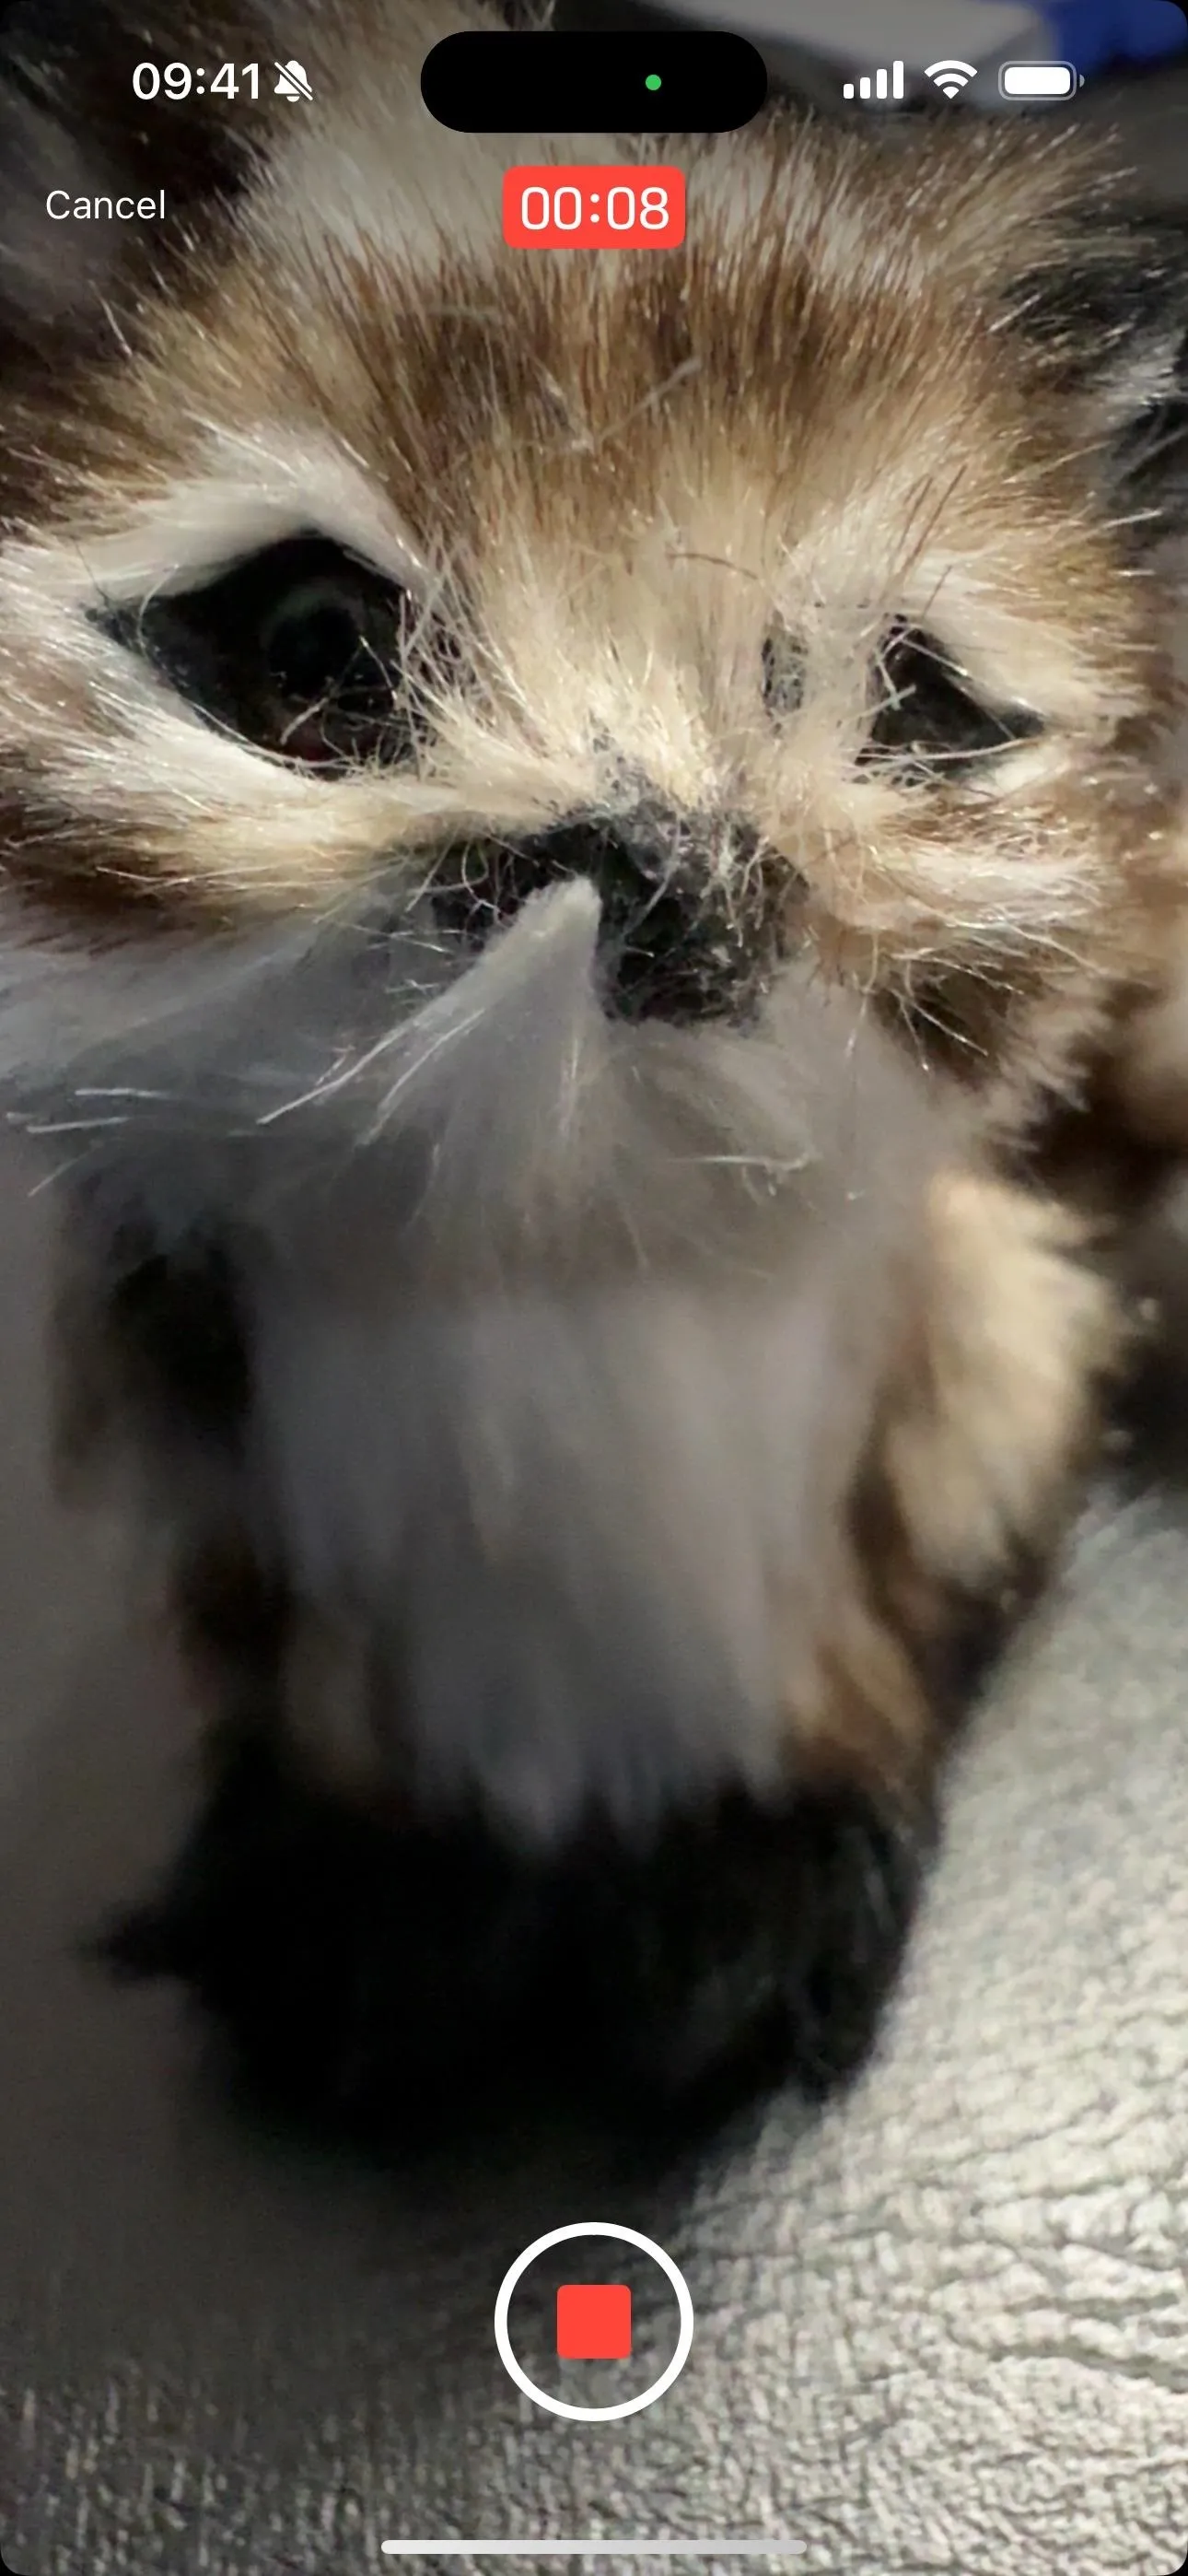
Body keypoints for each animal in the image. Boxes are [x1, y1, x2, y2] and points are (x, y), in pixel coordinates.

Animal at [0, 0, 1180, 2133]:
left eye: (907, 704)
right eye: (313, 643)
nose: (650, 849)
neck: (562, 1293)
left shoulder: (973, 1364)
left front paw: (762, 1889)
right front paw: (366, 1908)